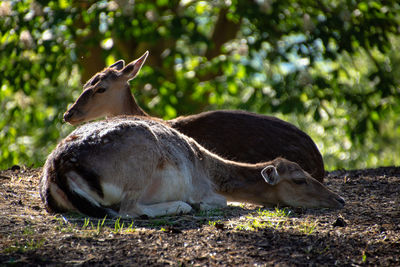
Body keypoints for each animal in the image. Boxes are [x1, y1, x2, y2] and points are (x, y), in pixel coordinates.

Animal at [40, 116, 346, 219]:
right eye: (299, 179)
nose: (340, 199)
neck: (209, 171)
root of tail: (57, 170)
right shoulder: (201, 188)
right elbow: (220, 201)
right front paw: (198, 205)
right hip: (140, 164)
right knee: (128, 210)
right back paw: (181, 207)